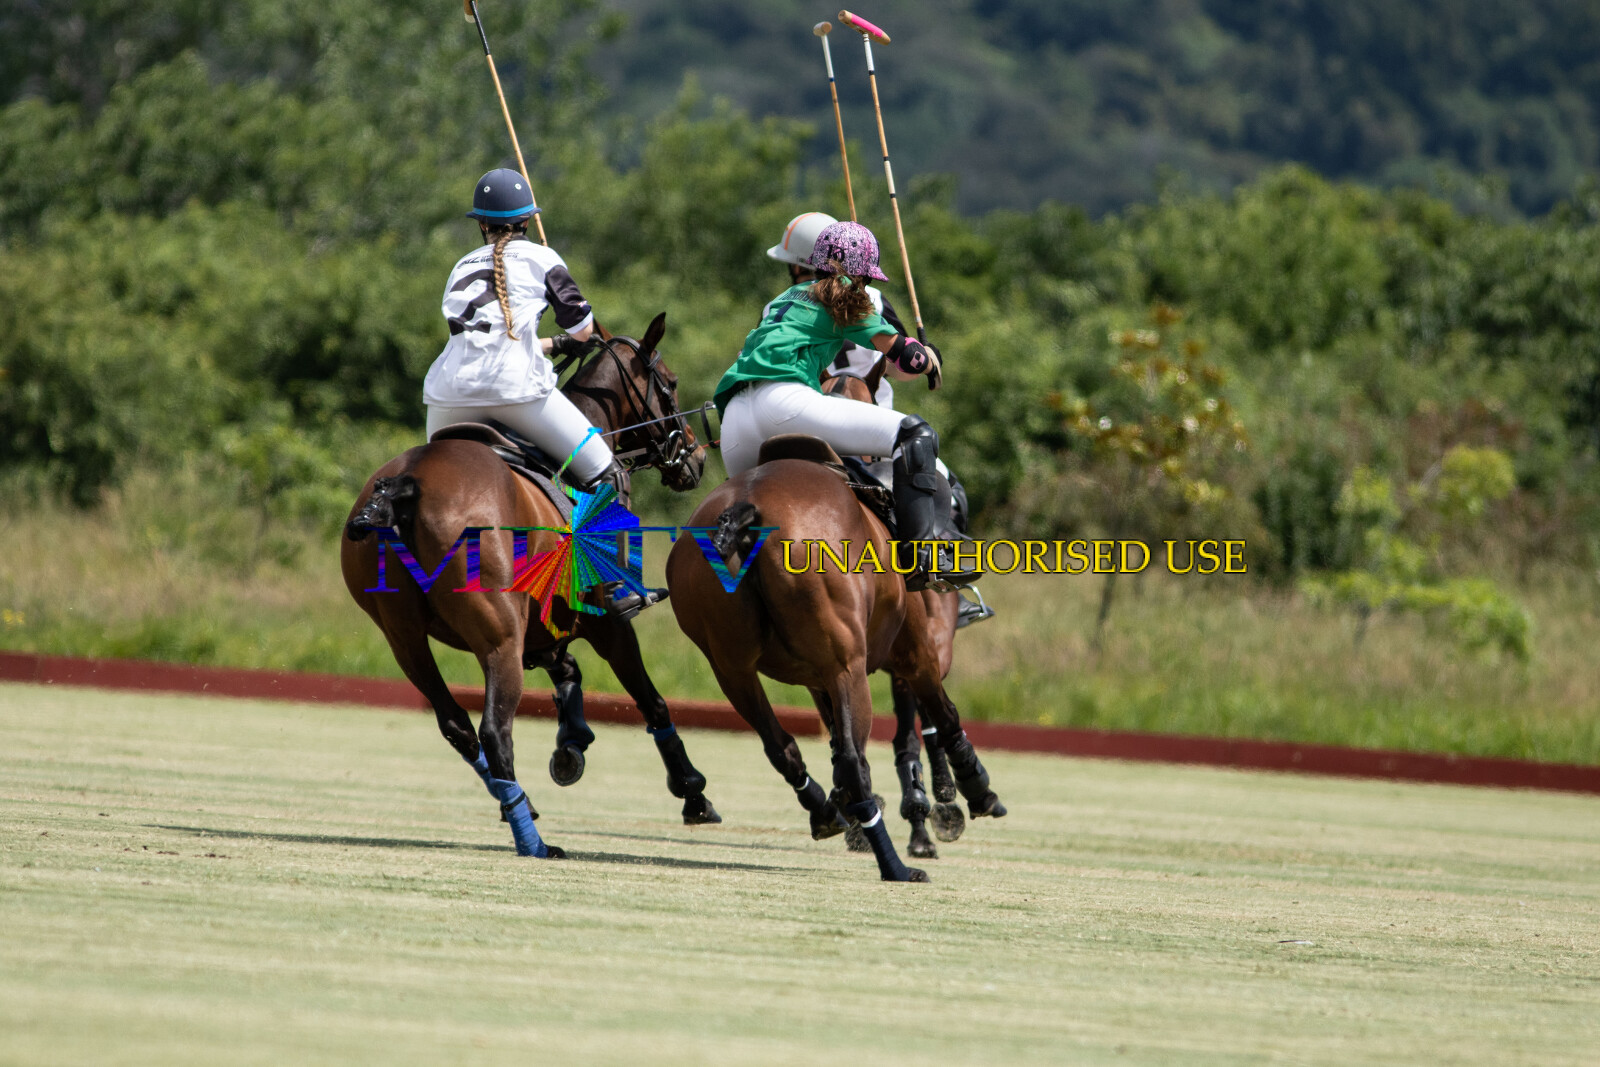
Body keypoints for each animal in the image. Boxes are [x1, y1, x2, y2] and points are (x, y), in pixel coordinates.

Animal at [341, 313, 716, 858]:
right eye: (669, 383)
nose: (695, 460)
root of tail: (404, 486)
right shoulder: (605, 623)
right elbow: (651, 699)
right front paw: (692, 792)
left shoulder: (540, 627)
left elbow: (567, 672)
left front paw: (571, 744)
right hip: (497, 637)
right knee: (494, 730)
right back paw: (533, 840)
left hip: (405, 640)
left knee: (456, 725)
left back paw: (515, 803)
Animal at [665, 371, 1007, 882]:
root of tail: (746, 509)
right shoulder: (917, 654)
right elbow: (939, 719)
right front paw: (969, 792)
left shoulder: (815, 677)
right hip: (848, 666)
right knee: (852, 758)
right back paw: (895, 865)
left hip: (732, 670)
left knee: (781, 745)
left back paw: (828, 815)